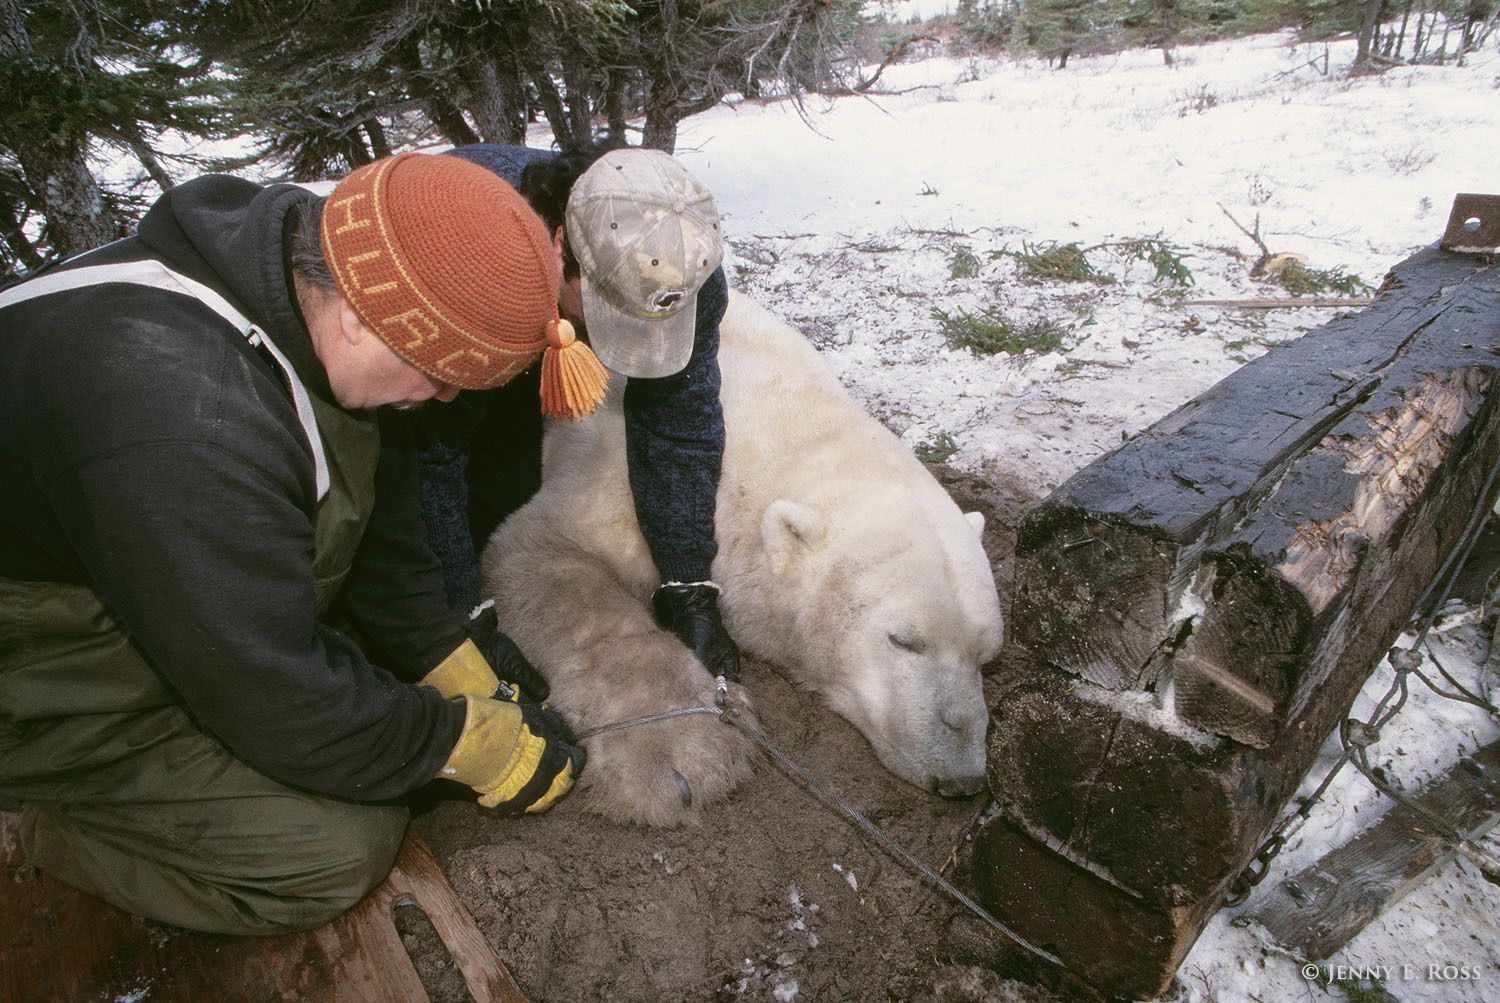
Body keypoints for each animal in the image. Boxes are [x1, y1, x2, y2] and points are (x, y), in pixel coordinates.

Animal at [482, 292, 1003, 827]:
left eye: (989, 656)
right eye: (905, 640)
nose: (962, 780)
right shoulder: (611, 469)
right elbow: (541, 550)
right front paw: (684, 749)